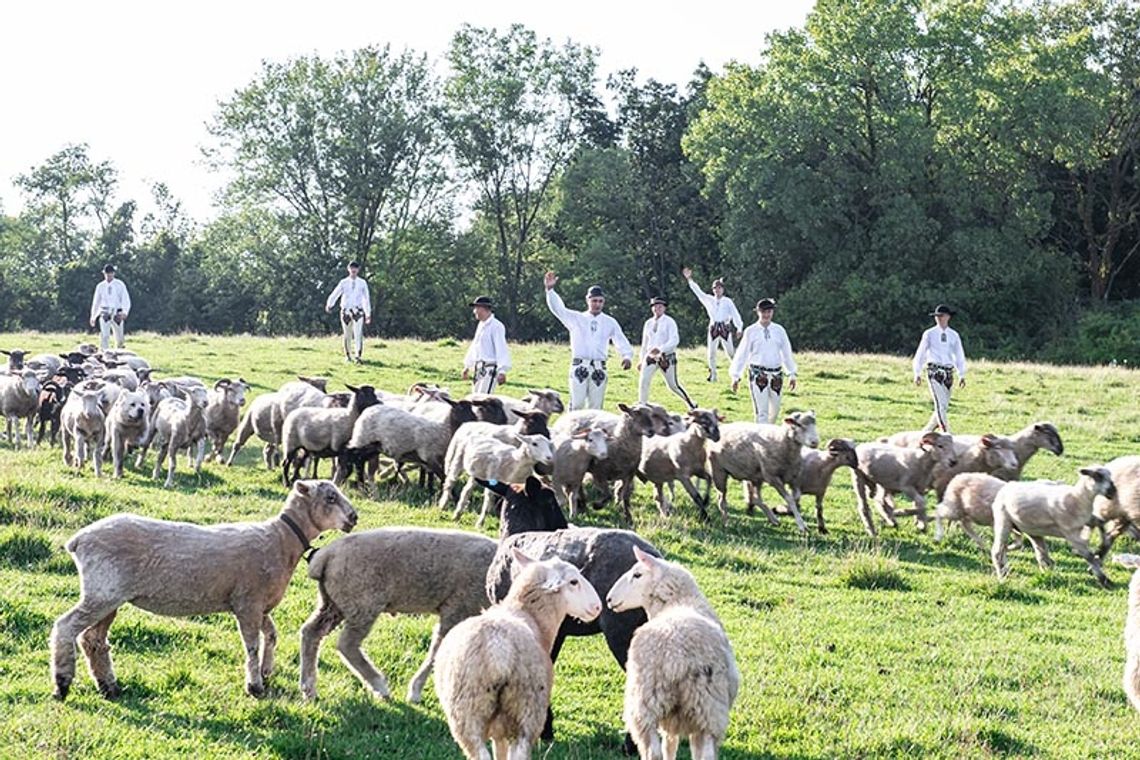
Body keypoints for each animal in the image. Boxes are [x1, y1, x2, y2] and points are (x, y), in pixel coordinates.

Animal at [49, 480, 355, 701]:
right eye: (330, 497)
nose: (354, 517)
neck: (281, 540)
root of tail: (78, 540)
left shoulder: (257, 603)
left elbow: (271, 634)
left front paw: (267, 671)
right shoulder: (247, 602)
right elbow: (252, 645)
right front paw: (255, 685)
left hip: (110, 597)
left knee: (93, 640)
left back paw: (108, 687)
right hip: (102, 592)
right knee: (66, 627)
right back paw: (62, 684)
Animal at [298, 528, 499, 701]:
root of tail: (325, 556)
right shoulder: (458, 607)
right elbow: (437, 649)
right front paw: (415, 692)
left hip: (334, 602)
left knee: (311, 632)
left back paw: (308, 688)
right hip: (362, 602)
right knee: (346, 644)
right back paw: (379, 685)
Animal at [430, 546, 601, 760]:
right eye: (573, 582)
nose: (598, 606)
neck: (527, 613)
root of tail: (498, 647)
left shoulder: (498, 730)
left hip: (469, 713)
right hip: (525, 709)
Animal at [606, 546, 738, 760]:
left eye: (637, 574)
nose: (609, 599)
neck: (679, 601)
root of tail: (677, 657)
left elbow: (669, 745)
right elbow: (673, 745)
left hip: (645, 701)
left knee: (653, 751)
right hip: (708, 708)